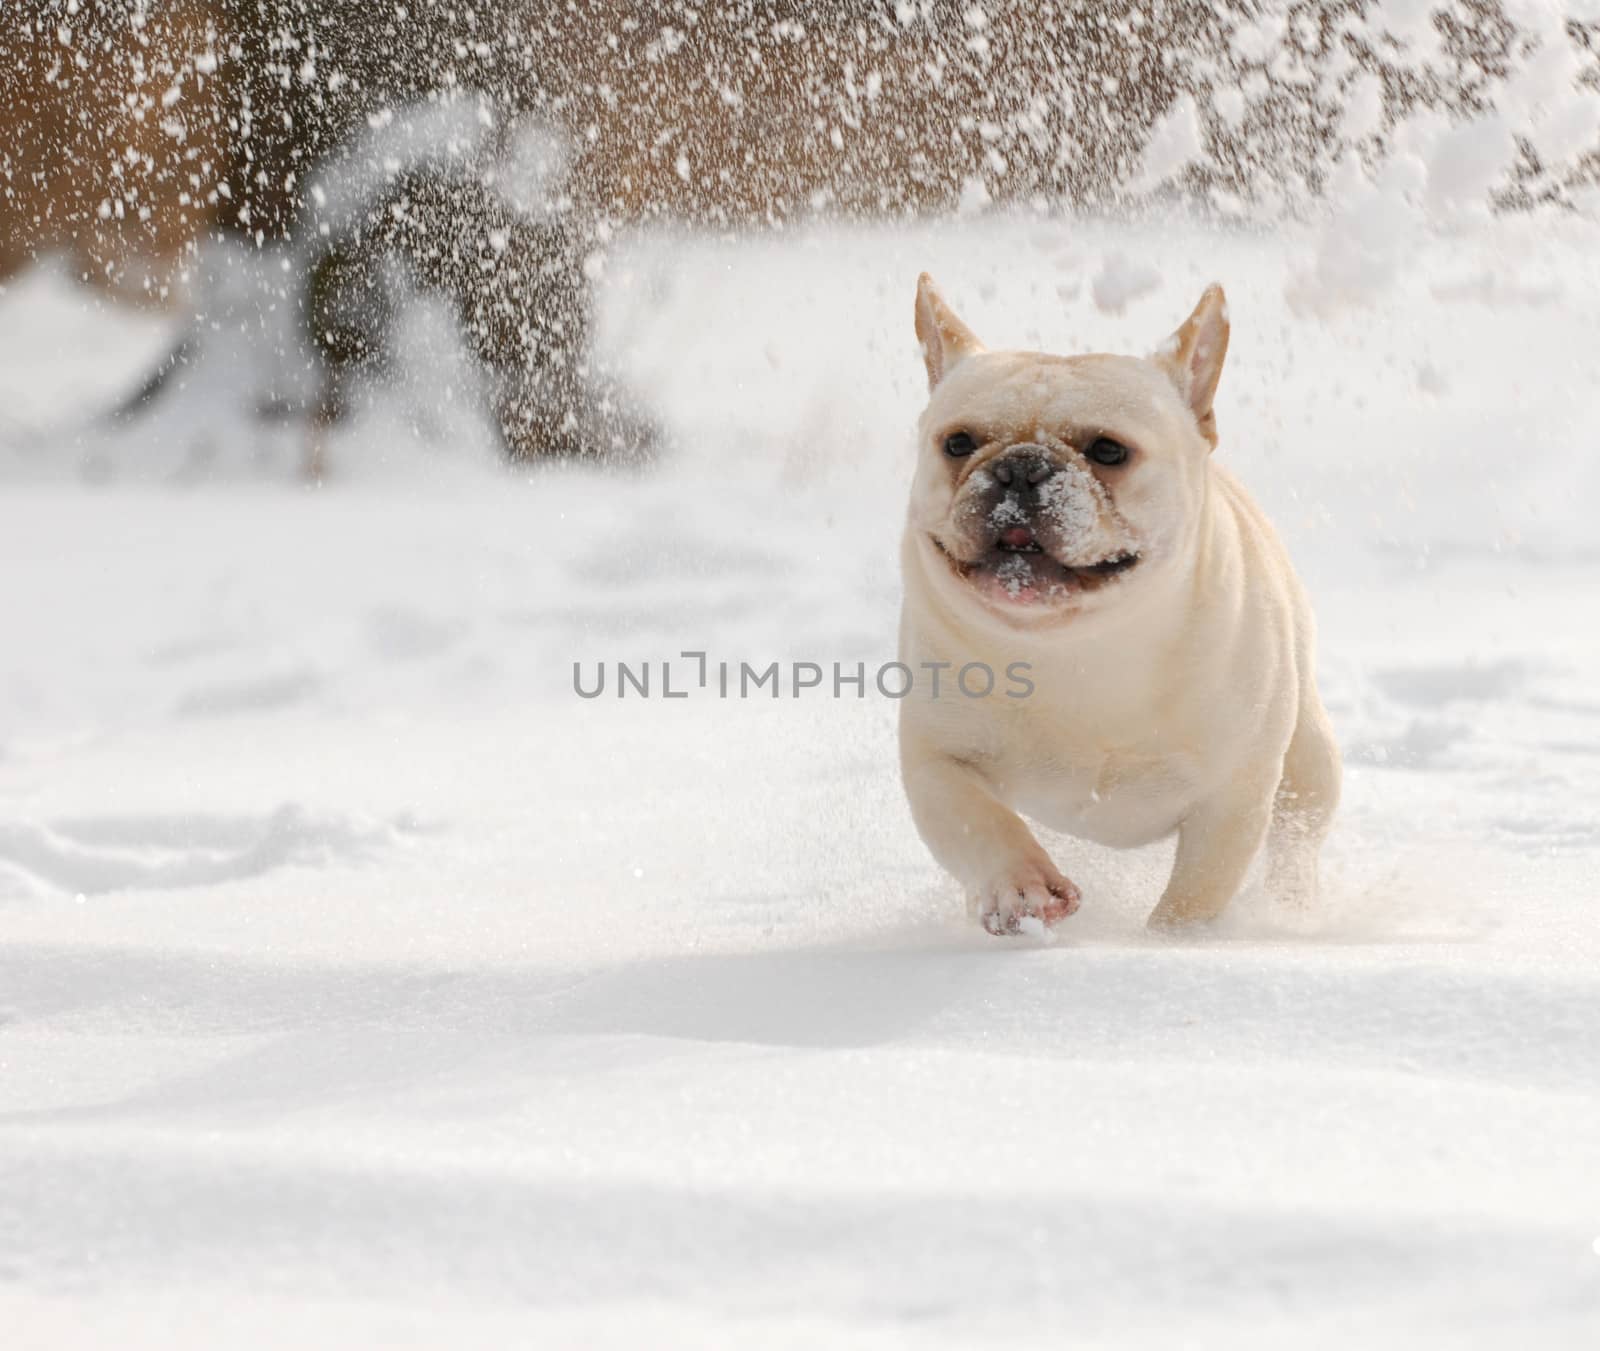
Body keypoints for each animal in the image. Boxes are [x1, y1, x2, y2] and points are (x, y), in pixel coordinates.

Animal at [902, 272, 1337, 928]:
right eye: (957, 442)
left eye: (1109, 451)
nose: (1020, 467)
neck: (1079, 643)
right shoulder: (936, 757)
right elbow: (978, 824)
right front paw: (1021, 888)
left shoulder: (1233, 793)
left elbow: (1199, 888)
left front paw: (1170, 941)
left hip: (1308, 757)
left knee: (1298, 833)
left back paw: (1294, 908)